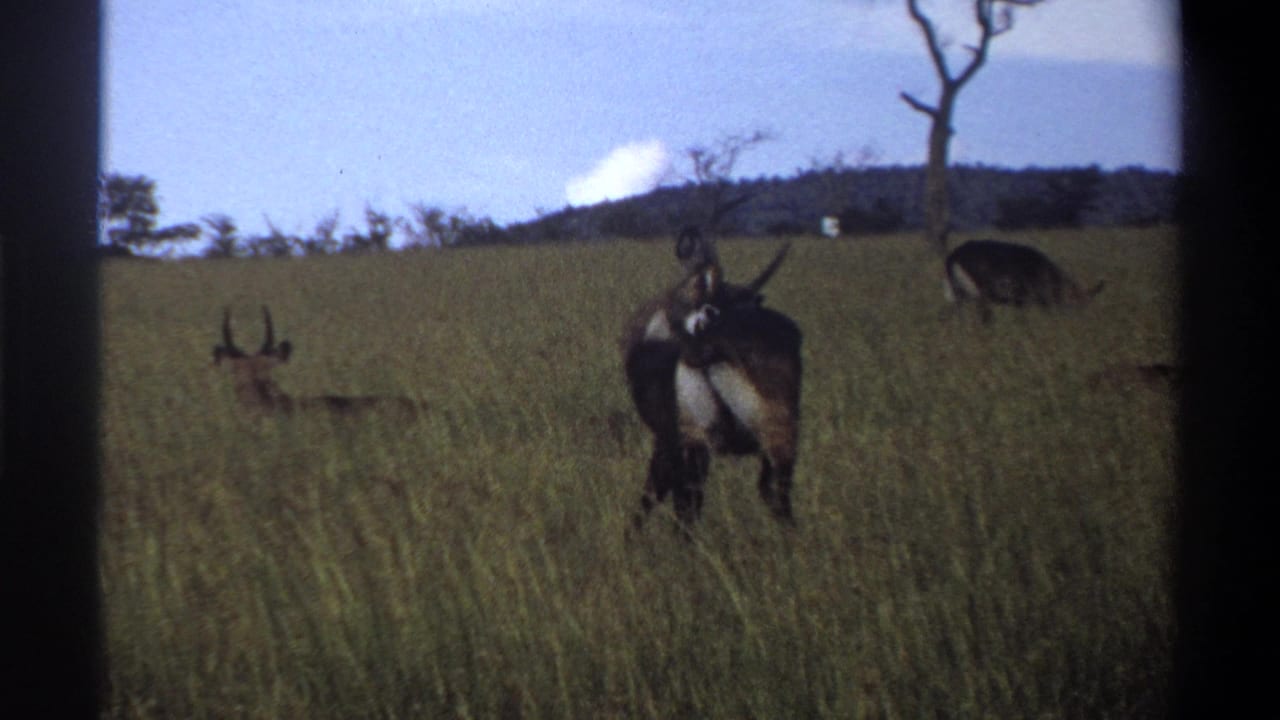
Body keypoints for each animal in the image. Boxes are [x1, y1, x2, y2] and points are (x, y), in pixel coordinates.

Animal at [622, 231, 802, 531]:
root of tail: (704, 342)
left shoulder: (668, 440)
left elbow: (652, 495)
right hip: (776, 438)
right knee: (775, 495)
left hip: (695, 444)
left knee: (685, 506)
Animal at [943, 239, 1105, 322]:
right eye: (1077, 306)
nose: (1080, 322)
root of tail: (953, 256)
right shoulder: (1025, 298)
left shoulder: (1021, 301)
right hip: (980, 293)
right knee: (984, 317)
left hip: (959, 293)